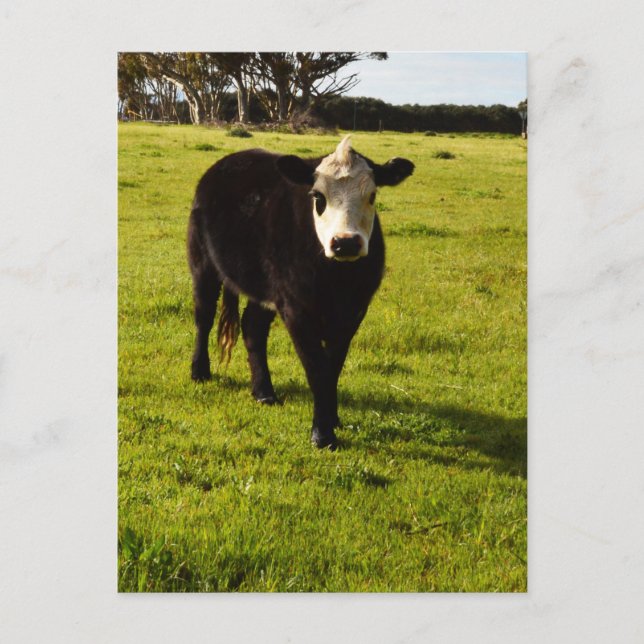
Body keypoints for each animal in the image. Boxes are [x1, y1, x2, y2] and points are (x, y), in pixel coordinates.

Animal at [188, 135, 414, 450]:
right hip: (203, 265)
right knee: (204, 316)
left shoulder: (354, 311)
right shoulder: (296, 309)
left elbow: (333, 367)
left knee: (252, 327)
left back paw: (263, 391)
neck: (337, 282)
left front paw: (332, 419)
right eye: (318, 197)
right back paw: (200, 371)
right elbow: (317, 368)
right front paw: (322, 434)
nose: (345, 243)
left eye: (372, 195)